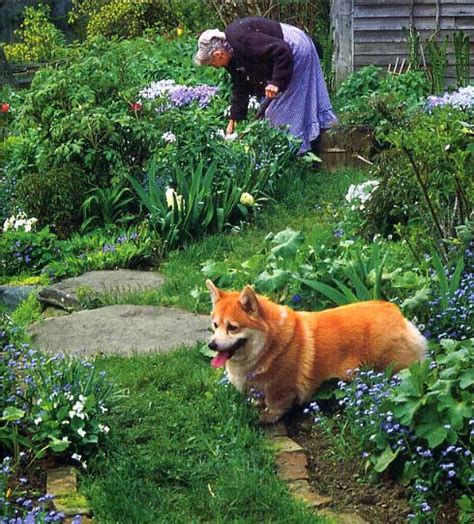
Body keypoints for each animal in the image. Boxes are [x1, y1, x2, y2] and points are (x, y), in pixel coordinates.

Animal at [206, 280, 428, 424]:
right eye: (215, 325)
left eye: (232, 327)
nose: (211, 345)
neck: (267, 344)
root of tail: (397, 314)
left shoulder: (280, 387)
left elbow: (275, 403)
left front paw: (267, 416)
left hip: (395, 369)